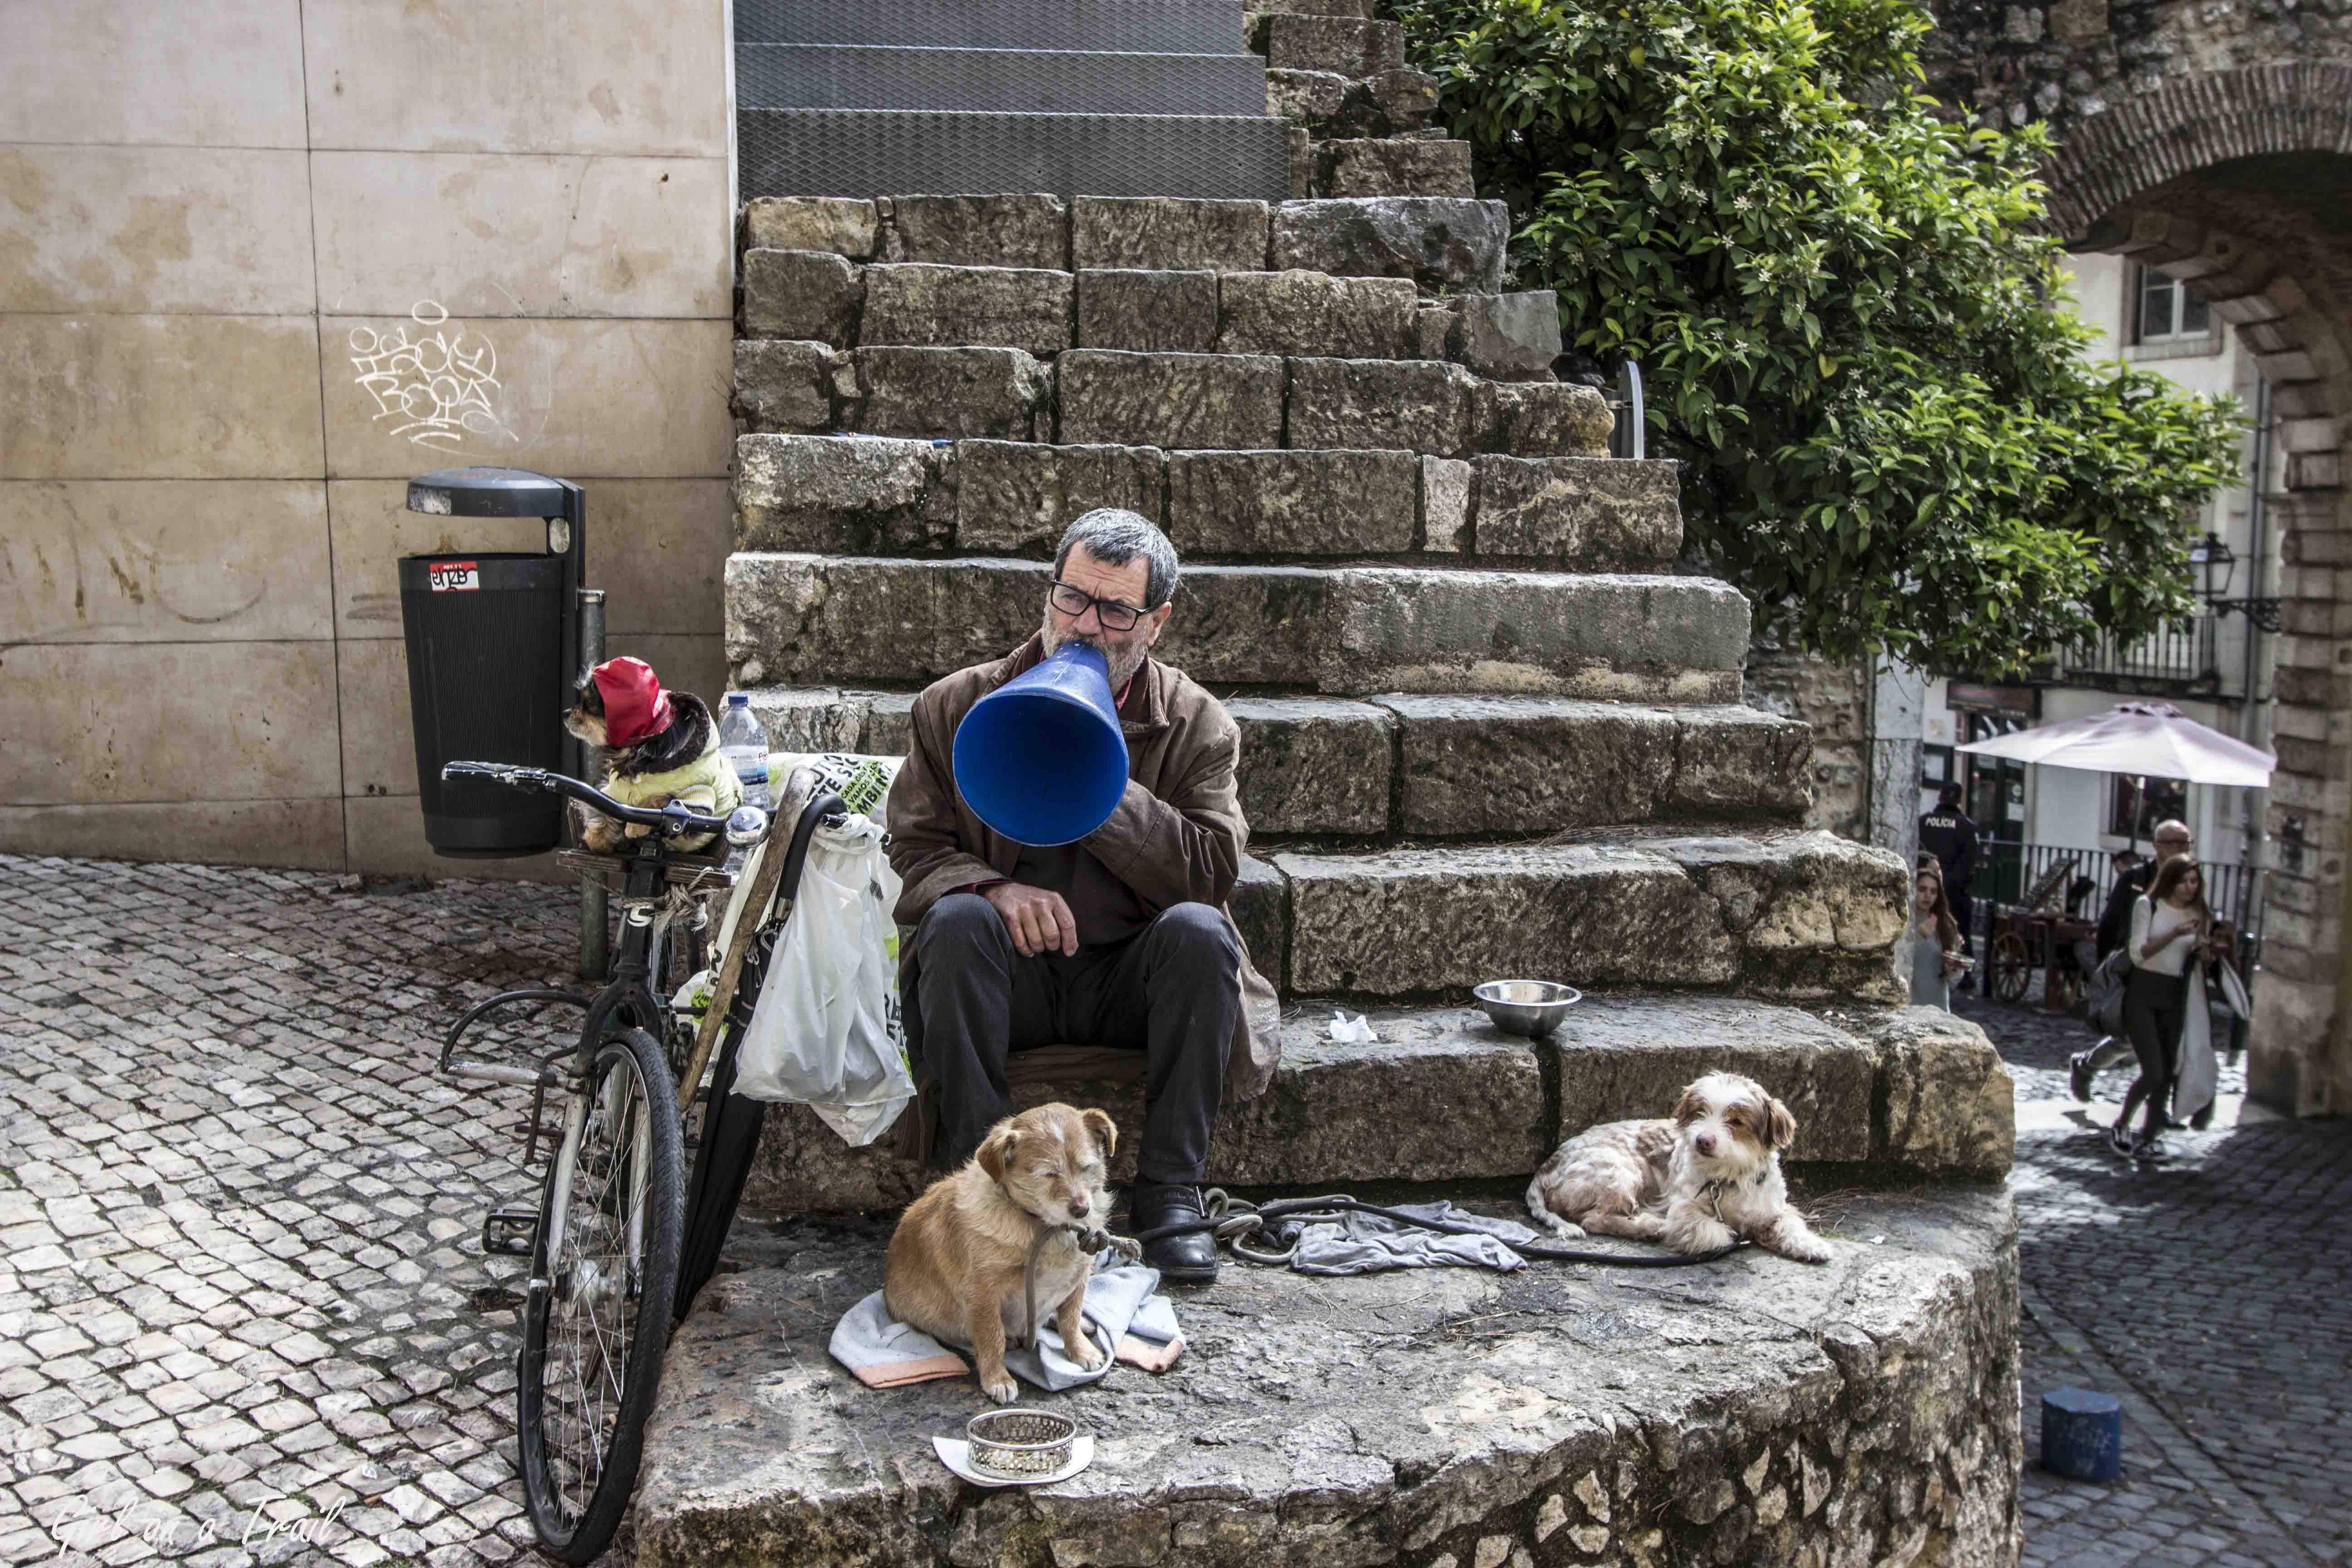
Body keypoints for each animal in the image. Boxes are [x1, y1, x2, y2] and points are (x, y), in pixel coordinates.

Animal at [562, 663, 738, 860]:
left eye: (589, 703)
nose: (565, 714)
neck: (642, 748)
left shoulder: (698, 803)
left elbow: (663, 800)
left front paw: (636, 826)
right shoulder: (613, 790)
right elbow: (602, 807)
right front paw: (598, 837)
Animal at [884, 1100, 1119, 1401]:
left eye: (1087, 1167)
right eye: (1048, 1174)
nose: (1082, 1210)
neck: (1043, 1227)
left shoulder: (1078, 1278)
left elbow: (1071, 1317)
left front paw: (1081, 1351)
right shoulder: (983, 1292)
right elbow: (991, 1336)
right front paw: (998, 1379)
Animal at [1524, 1072, 1834, 1269]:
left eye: (1736, 1121)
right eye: (1700, 1112)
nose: (1703, 1140)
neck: (1728, 1178)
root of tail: (1546, 1168)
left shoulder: (1773, 1209)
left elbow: (1790, 1224)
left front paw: (1812, 1246)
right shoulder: (1683, 1208)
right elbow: (1706, 1228)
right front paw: (1723, 1235)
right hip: (1620, 1172)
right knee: (1595, 1219)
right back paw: (1649, 1227)